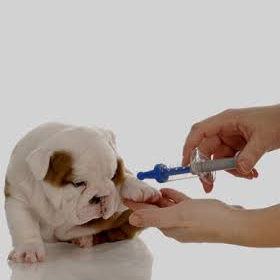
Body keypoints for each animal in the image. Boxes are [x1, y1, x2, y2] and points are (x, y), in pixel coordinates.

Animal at [4, 122, 161, 262]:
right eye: (78, 183)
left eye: (112, 177)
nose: (101, 196)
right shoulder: (18, 198)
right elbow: (25, 224)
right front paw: (28, 250)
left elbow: (126, 177)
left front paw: (140, 188)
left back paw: (84, 238)